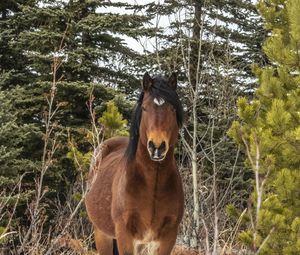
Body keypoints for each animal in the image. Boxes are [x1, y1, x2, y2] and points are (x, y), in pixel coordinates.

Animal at [85, 72, 185, 255]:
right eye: (145, 108)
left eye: (172, 109)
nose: (157, 147)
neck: (153, 183)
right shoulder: (125, 235)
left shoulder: (166, 238)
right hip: (102, 234)